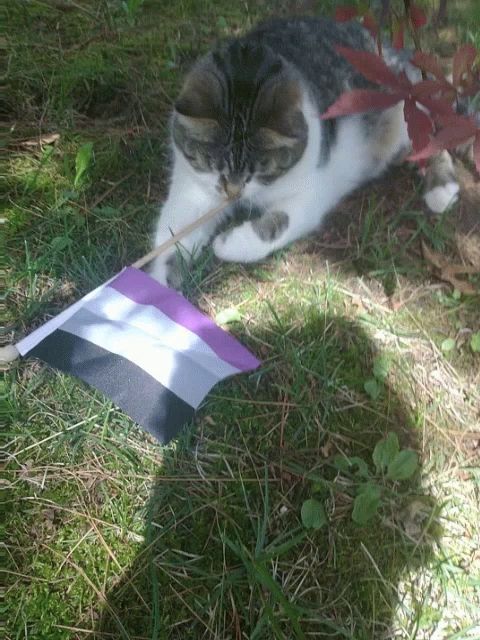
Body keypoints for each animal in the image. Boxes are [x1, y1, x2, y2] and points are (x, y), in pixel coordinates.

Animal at [151, 16, 462, 286]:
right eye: (211, 163)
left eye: (261, 170)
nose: (233, 193)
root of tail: (395, 50)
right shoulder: (191, 191)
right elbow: (172, 237)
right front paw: (158, 286)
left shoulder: (312, 193)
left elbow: (278, 224)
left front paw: (228, 243)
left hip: (410, 113)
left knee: (434, 140)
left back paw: (442, 190)